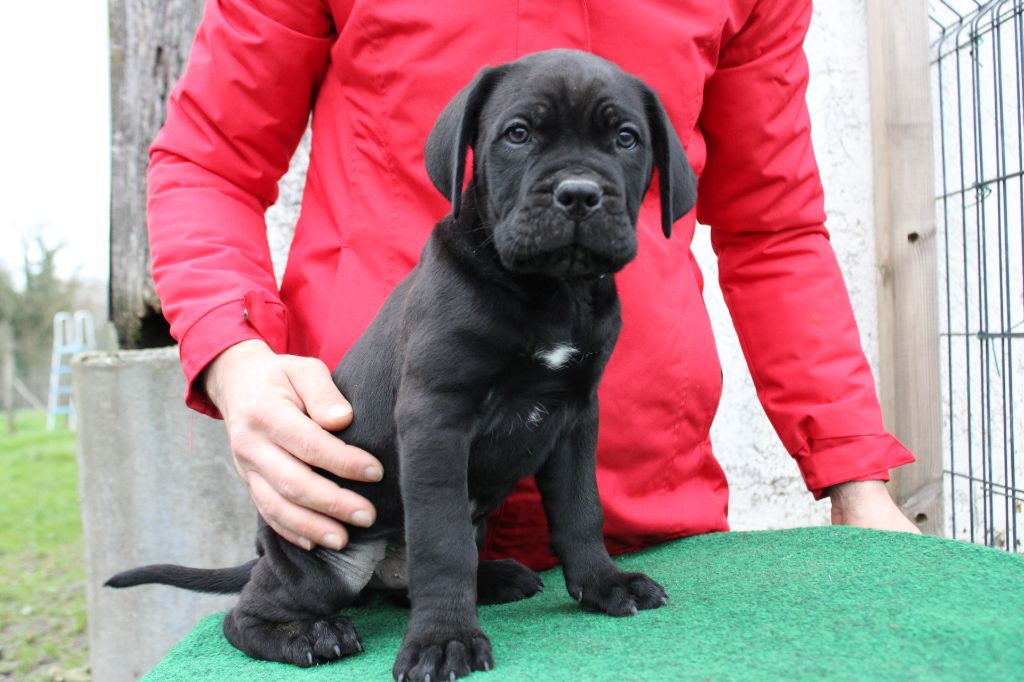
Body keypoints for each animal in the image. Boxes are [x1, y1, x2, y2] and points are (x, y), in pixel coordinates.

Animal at [112, 49, 700, 679]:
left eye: (625, 138)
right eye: (517, 135)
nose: (579, 194)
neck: (551, 291)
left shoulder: (574, 415)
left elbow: (580, 510)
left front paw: (605, 584)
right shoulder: (435, 420)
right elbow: (442, 543)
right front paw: (444, 639)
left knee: (411, 583)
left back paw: (494, 577)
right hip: (322, 557)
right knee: (244, 616)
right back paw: (308, 635)